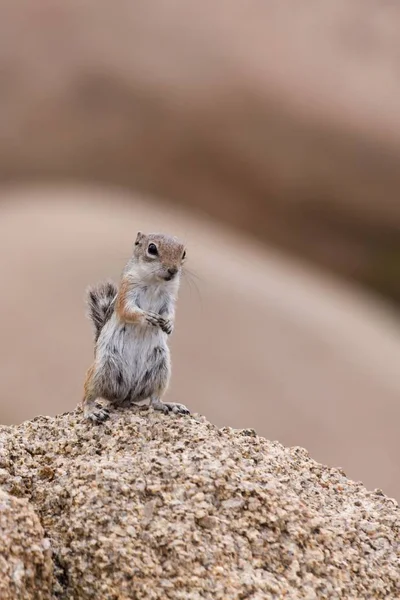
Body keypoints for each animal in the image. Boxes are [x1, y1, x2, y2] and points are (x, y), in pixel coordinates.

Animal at [81, 230, 191, 422]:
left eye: (183, 253)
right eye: (152, 249)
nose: (173, 270)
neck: (156, 282)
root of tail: (125, 397)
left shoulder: (169, 299)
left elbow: (170, 313)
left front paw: (168, 325)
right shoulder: (127, 290)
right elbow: (128, 311)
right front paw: (147, 317)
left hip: (161, 370)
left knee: (155, 400)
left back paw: (170, 405)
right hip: (100, 370)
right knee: (88, 395)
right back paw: (92, 411)